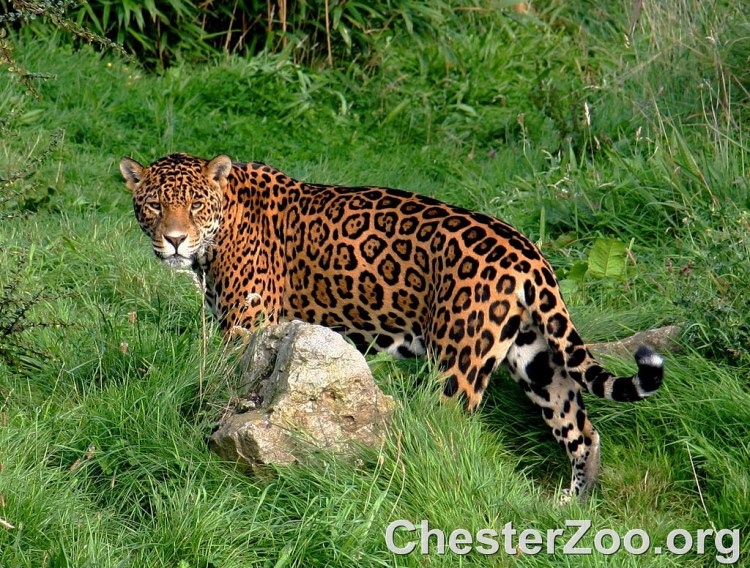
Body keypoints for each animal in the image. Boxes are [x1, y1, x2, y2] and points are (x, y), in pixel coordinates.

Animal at [119, 152, 664, 501]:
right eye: (154, 205)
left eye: (195, 205)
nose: (174, 239)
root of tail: (529, 254)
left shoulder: (245, 327)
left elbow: (222, 388)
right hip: (536, 358)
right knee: (583, 430)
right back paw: (572, 509)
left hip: (458, 362)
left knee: (448, 433)